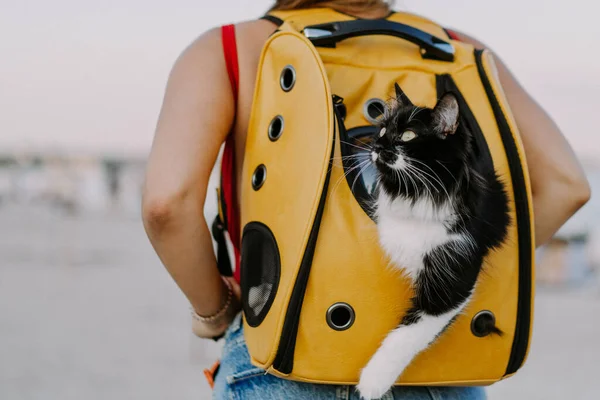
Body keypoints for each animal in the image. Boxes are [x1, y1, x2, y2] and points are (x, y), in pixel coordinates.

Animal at [358, 84, 508, 400]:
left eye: (407, 136)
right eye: (382, 131)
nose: (377, 146)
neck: (417, 193)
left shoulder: (451, 281)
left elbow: (406, 335)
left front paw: (371, 383)